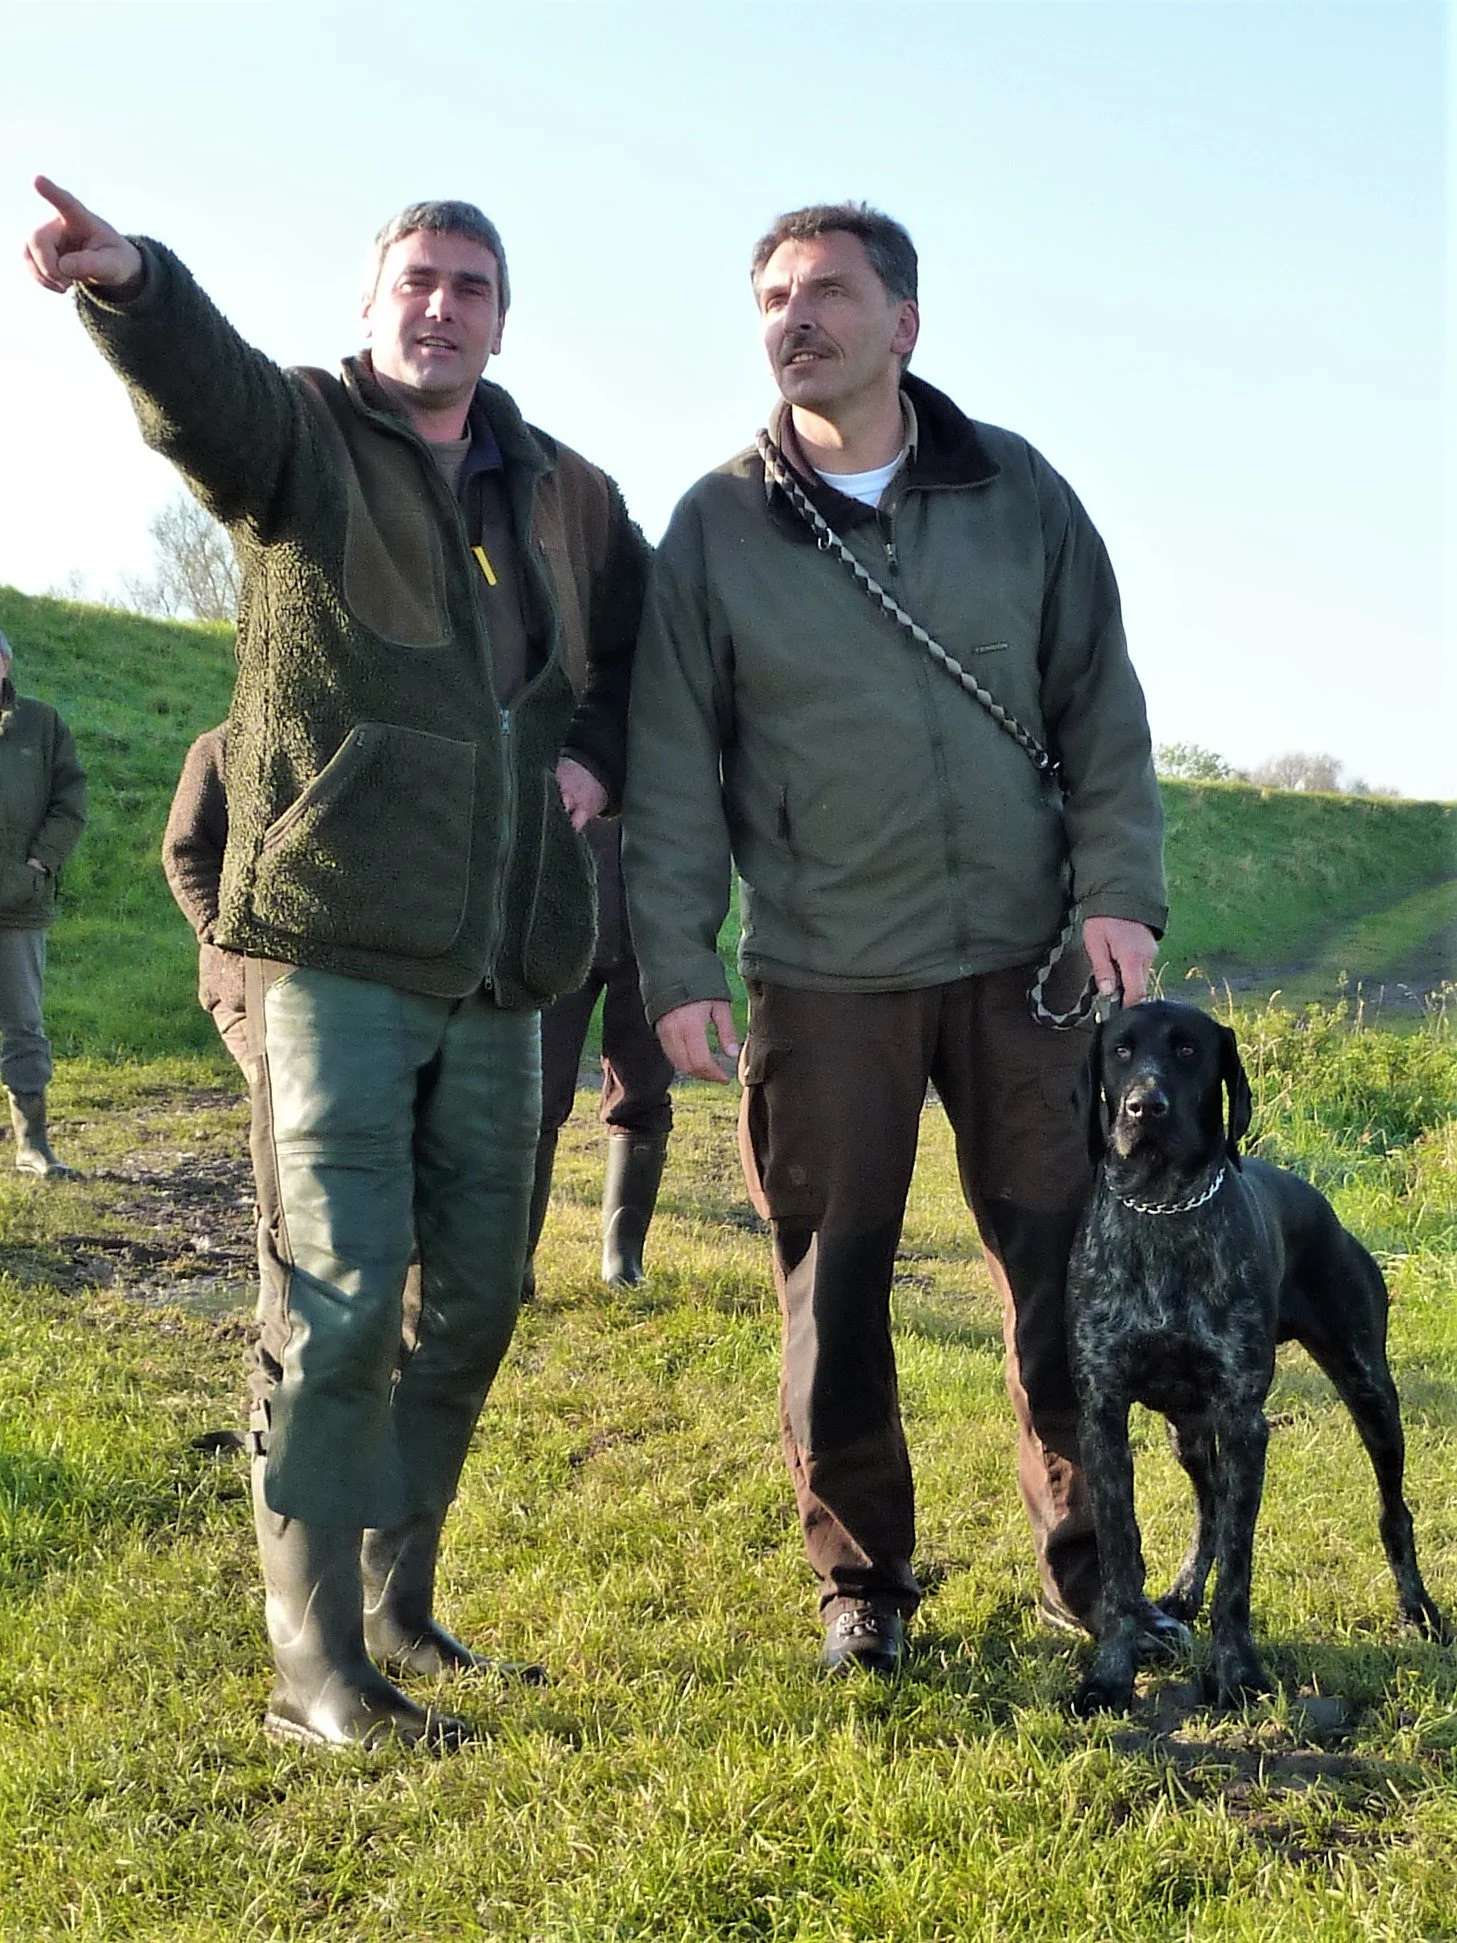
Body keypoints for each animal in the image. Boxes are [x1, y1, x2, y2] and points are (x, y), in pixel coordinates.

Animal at [1065, 999, 1447, 1714]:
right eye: (1120, 1050)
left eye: (1187, 1050)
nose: (1144, 1107)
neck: (1165, 1210)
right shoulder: (1103, 1417)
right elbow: (1122, 1558)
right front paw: (1111, 1674)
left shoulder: (1244, 1420)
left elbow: (1239, 1568)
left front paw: (1237, 1672)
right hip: (1187, 1429)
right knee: (1209, 1509)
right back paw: (1184, 1592)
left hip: (1369, 1391)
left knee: (1395, 1511)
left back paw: (1418, 1611)